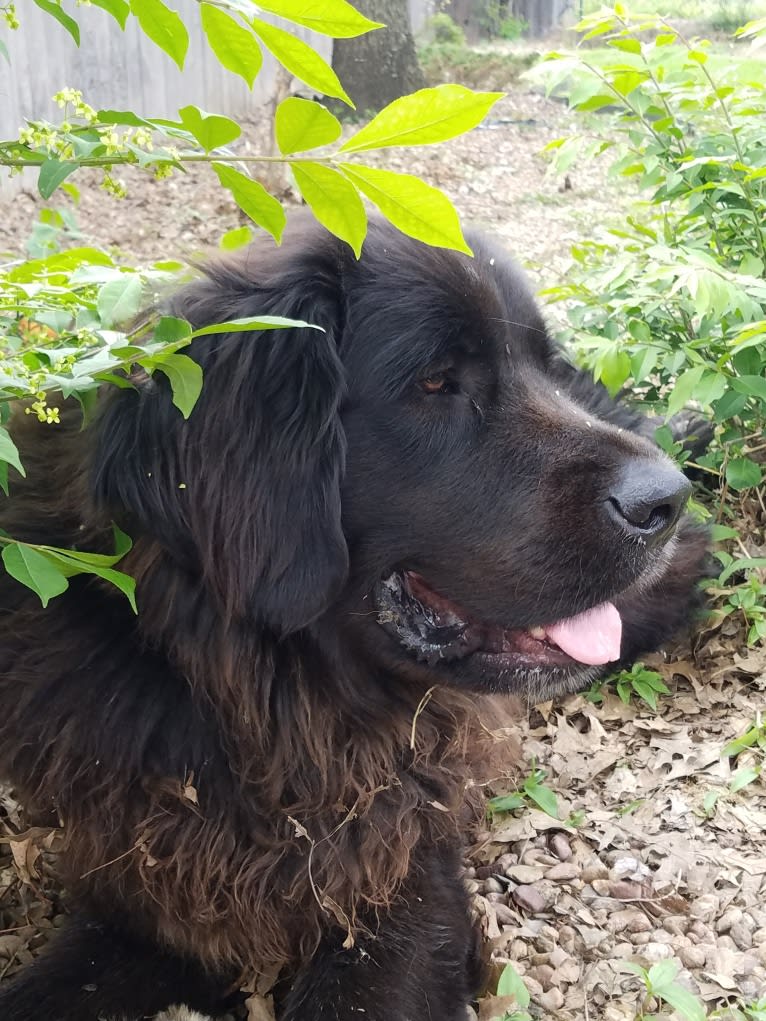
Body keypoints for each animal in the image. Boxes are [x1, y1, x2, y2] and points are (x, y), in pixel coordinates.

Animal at [0, 217, 706, 1021]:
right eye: (433, 381)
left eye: (543, 369)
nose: (665, 499)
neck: (264, 710)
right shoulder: (143, 890)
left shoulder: (400, 874)